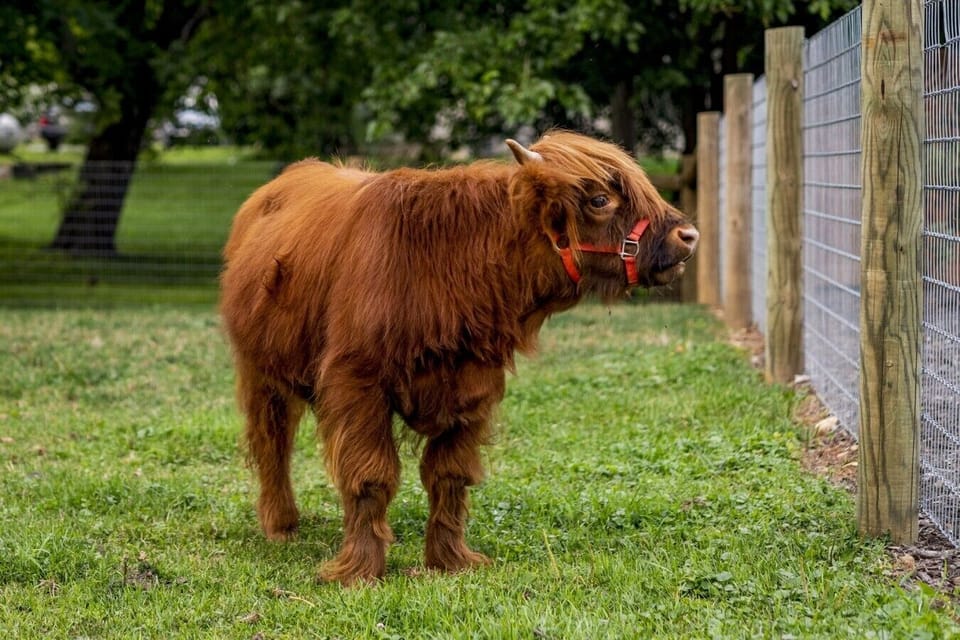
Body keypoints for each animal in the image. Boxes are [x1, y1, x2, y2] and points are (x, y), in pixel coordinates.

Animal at [220, 132, 698, 586]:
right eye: (600, 199)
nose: (688, 236)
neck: (446, 264)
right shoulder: (357, 382)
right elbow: (370, 475)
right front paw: (359, 571)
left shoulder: (473, 384)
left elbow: (449, 476)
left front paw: (450, 562)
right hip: (260, 370)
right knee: (272, 442)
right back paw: (281, 524)